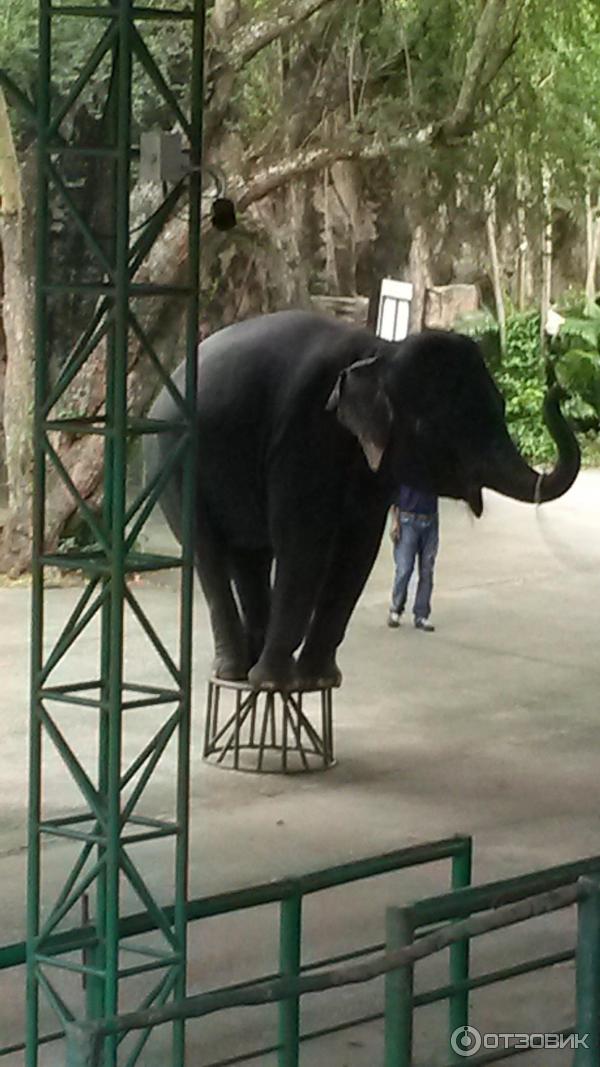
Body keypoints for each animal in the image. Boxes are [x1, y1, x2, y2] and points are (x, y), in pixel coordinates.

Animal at [146, 309, 580, 691]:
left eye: (501, 406)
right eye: (435, 427)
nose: (559, 384)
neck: (381, 350)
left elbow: (359, 548)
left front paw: (318, 681)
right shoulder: (302, 432)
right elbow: (304, 545)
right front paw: (276, 684)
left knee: (249, 556)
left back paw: (250, 668)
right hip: (172, 462)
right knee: (208, 553)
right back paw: (239, 673)